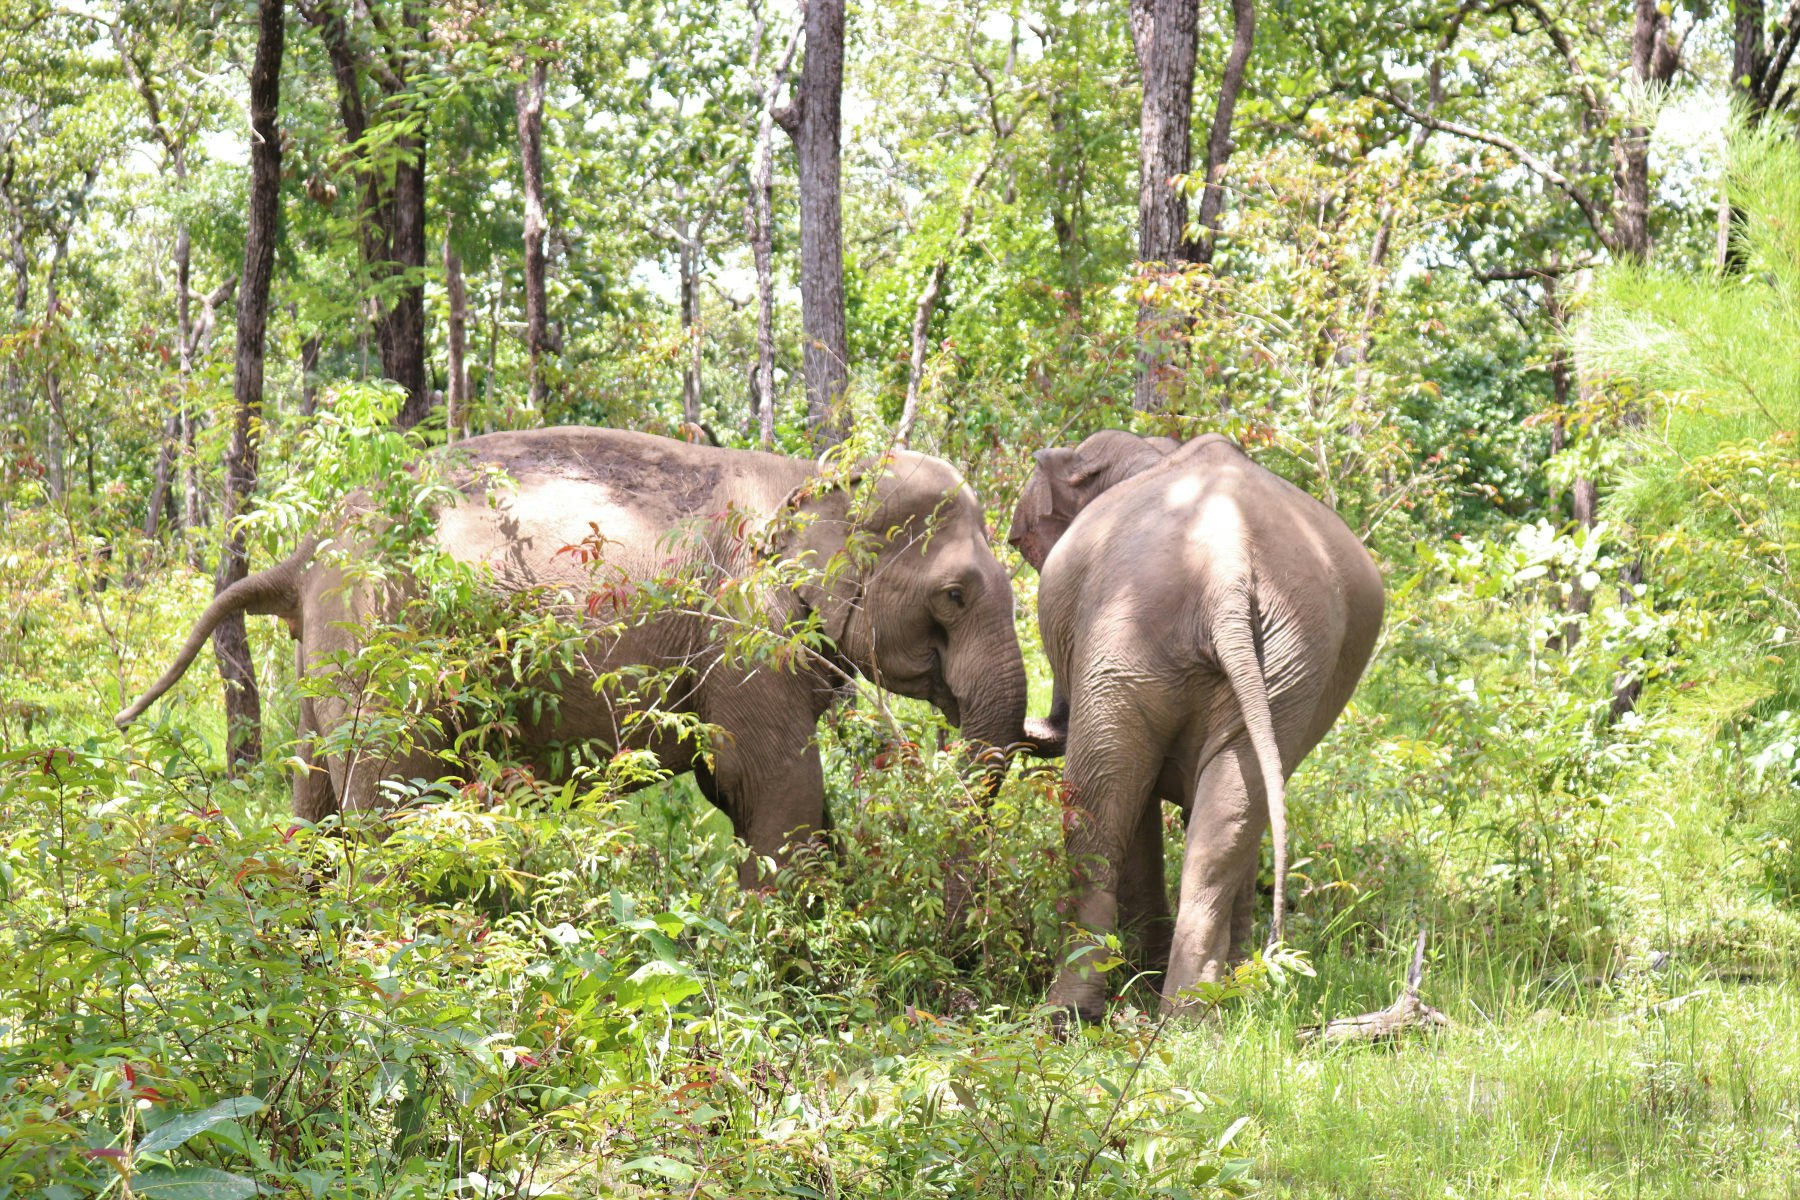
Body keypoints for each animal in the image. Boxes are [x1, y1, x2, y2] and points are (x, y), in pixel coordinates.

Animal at [116, 429, 1029, 881]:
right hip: (391, 642)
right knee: (391, 800)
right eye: (954, 595)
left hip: (332, 654)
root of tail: (306, 551)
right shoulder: (741, 627)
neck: (815, 472)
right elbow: (770, 784)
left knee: (316, 802)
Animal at [1015, 429, 1375, 1014]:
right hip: (1290, 660)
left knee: (1099, 806)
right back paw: (1198, 1010)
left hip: (1130, 638)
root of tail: (1228, 571)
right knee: (1230, 814)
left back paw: (1072, 1012)